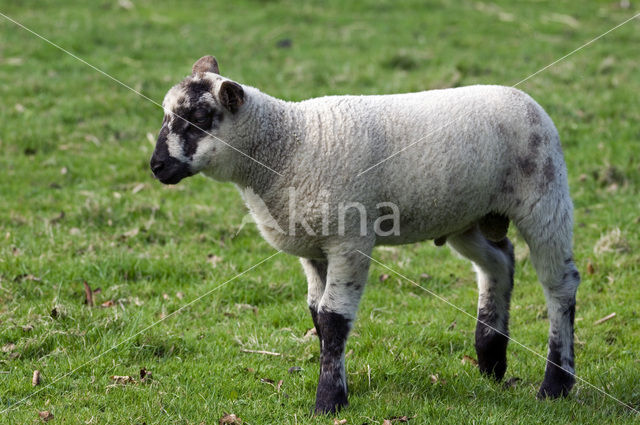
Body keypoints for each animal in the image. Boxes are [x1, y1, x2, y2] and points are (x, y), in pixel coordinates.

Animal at [149, 54, 580, 412]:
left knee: (560, 285)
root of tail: (525, 99)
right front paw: (337, 382)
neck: (288, 145)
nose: (156, 166)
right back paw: (491, 358)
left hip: (545, 199)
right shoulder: (314, 247)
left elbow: (333, 318)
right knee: (499, 264)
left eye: (198, 118)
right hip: (467, 216)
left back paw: (556, 384)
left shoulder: (349, 238)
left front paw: (328, 401)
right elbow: (316, 313)